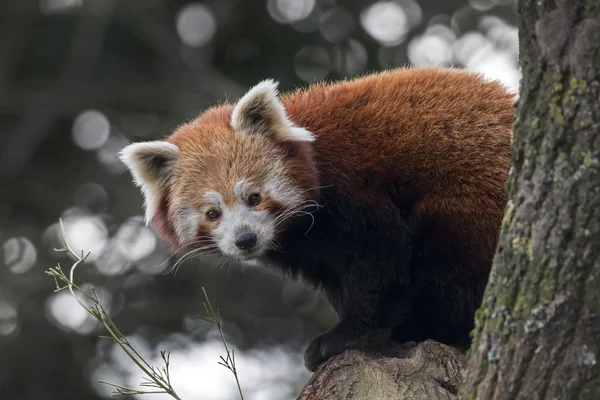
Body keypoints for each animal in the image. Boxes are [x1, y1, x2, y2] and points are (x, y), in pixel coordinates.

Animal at [119, 68, 512, 372]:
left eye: (254, 198)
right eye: (212, 214)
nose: (245, 239)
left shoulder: (359, 191)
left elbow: (380, 262)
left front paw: (348, 335)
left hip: (466, 199)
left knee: (450, 263)